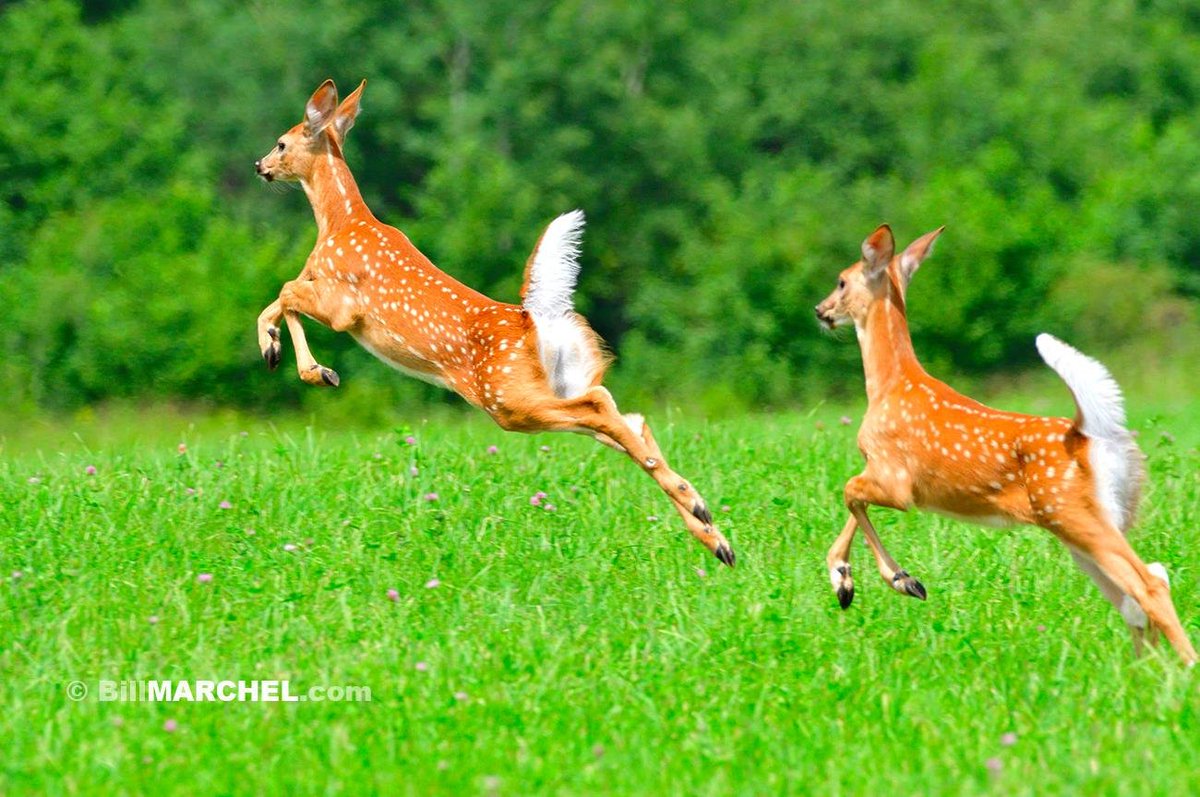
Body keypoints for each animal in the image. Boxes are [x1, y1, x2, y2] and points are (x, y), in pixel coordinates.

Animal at [251, 79, 734, 567]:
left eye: (282, 142)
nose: (260, 166)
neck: (339, 224)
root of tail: (534, 319)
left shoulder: (343, 305)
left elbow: (285, 291)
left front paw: (311, 369)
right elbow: (277, 300)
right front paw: (281, 352)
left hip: (507, 398)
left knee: (603, 408)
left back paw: (700, 512)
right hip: (560, 381)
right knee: (628, 419)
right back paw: (713, 534)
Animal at [814, 223, 1197, 665]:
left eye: (841, 280)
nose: (820, 310)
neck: (890, 386)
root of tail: (1092, 434)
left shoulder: (897, 481)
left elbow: (849, 492)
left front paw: (893, 580)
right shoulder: (880, 473)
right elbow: (853, 500)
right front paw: (851, 580)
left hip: (1073, 512)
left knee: (1149, 584)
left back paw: (1184, 667)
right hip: (1091, 522)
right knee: (1138, 592)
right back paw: (1145, 670)